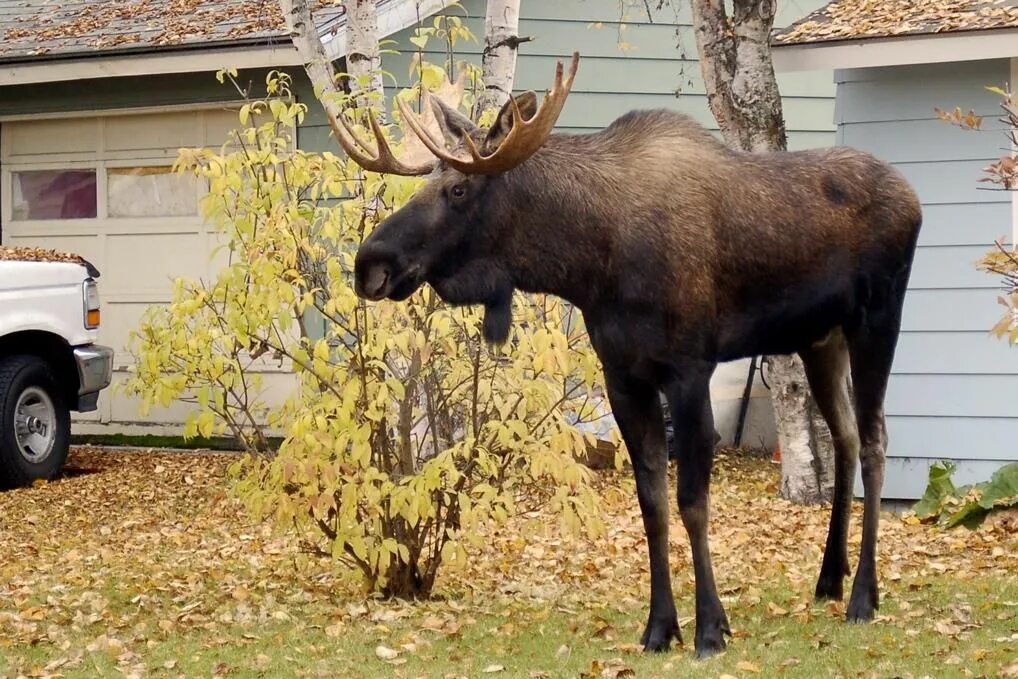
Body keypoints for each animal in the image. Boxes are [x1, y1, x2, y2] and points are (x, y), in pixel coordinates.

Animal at [329, 54, 928, 659]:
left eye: (457, 189)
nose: (370, 264)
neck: (590, 263)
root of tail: (913, 196)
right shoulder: (623, 376)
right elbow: (652, 504)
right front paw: (660, 626)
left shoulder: (688, 371)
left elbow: (692, 501)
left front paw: (710, 628)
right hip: (819, 339)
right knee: (846, 437)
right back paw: (830, 577)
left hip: (878, 319)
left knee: (876, 441)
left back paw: (863, 596)